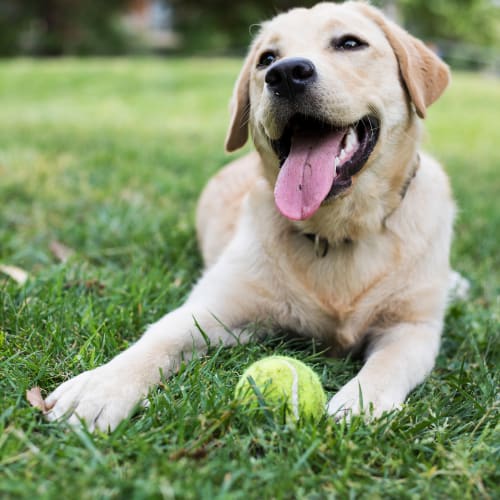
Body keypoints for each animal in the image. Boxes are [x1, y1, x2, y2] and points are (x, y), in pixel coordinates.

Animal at [47, 0, 458, 430]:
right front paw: (100, 387)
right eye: (267, 60)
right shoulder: (218, 308)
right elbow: (162, 335)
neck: (334, 231)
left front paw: (361, 403)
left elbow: (388, 364)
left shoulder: (413, 328)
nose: (287, 74)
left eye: (350, 43)